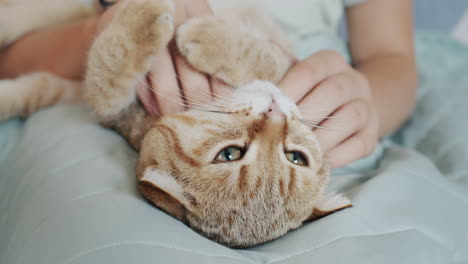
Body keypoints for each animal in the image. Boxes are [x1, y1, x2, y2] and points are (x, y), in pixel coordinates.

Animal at [0, 0, 352, 248]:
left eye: (295, 157)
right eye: (230, 153)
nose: (276, 112)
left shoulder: (111, 110)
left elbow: (106, 74)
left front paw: (187, 33)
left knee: (37, 86)